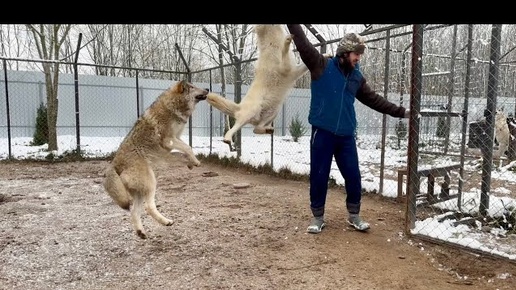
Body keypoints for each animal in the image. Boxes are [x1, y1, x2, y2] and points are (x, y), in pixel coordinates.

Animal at [103, 80, 208, 239]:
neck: (172, 107)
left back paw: (142, 232)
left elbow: (184, 150)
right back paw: (165, 222)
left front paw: (190, 162)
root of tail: (114, 165)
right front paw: (195, 162)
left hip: (140, 192)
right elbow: (188, 148)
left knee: (134, 212)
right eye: (192, 87)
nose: (208, 88)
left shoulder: (175, 139)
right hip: (151, 183)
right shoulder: (168, 140)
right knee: (148, 207)